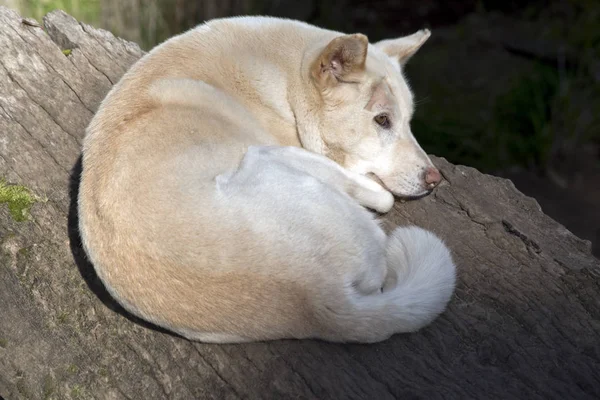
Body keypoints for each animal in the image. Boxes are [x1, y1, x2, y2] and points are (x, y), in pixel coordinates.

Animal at [77, 16, 458, 344]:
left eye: (408, 121)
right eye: (382, 120)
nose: (435, 179)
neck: (287, 78)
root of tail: (318, 299)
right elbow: (381, 194)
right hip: (265, 156)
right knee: (378, 199)